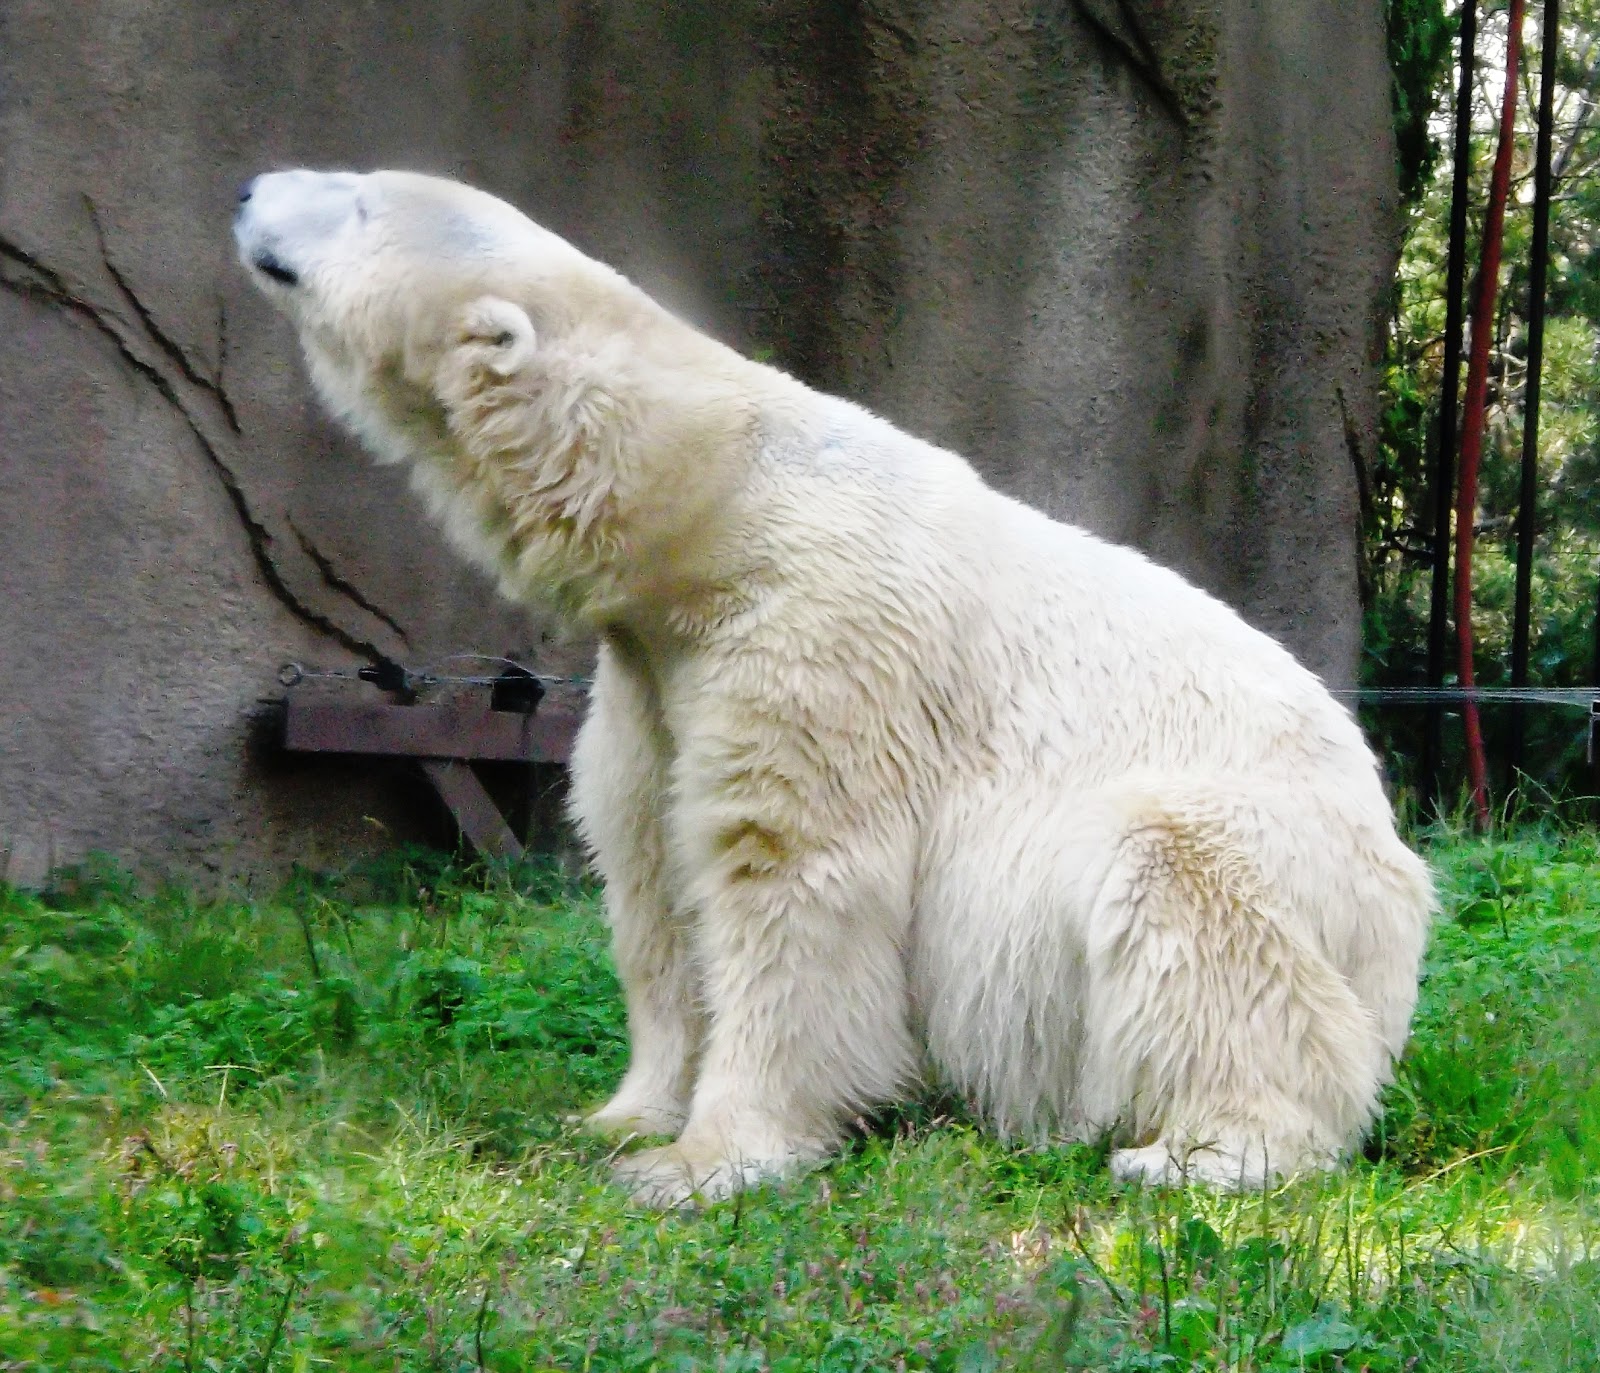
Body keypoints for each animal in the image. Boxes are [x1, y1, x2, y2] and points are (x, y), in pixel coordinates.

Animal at [234, 169, 1434, 1208]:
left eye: (358, 198)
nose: (247, 188)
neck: (717, 504)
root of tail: (1399, 892)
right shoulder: (651, 679)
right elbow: (652, 870)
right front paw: (621, 1115)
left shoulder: (820, 636)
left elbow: (794, 876)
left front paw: (705, 1161)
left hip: (1283, 859)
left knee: (1195, 907)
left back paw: (1209, 1148)